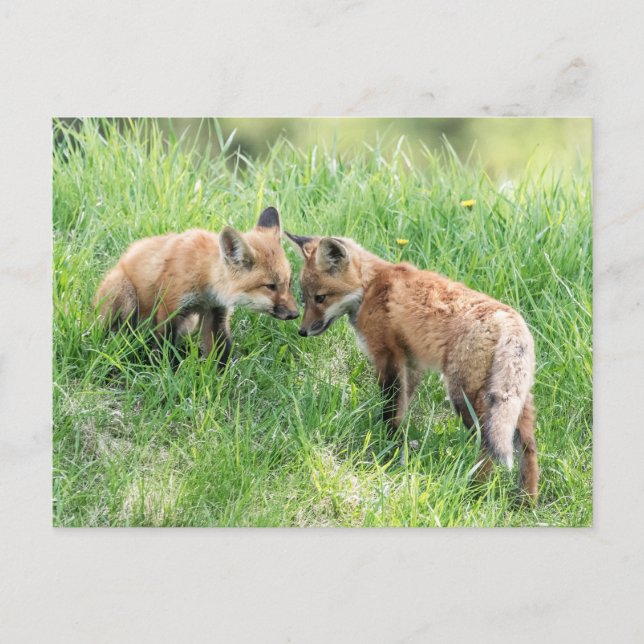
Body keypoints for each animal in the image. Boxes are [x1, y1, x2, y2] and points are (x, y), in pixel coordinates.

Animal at [95, 207, 299, 365]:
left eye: (288, 283)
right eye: (270, 286)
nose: (295, 314)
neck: (204, 275)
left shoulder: (216, 312)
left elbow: (221, 353)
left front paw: (223, 380)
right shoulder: (170, 308)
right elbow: (163, 350)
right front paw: (163, 374)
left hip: (188, 323)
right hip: (125, 297)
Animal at [286, 232, 539, 500]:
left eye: (320, 298)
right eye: (304, 298)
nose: (302, 331)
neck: (370, 287)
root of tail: (510, 320)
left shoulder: (388, 356)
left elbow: (390, 409)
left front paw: (387, 447)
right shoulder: (412, 364)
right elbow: (402, 408)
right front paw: (398, 445)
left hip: (463, 396)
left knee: (487, 443)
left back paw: (475, 491)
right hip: (515, 402)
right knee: (528, 448)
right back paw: (526, 500)